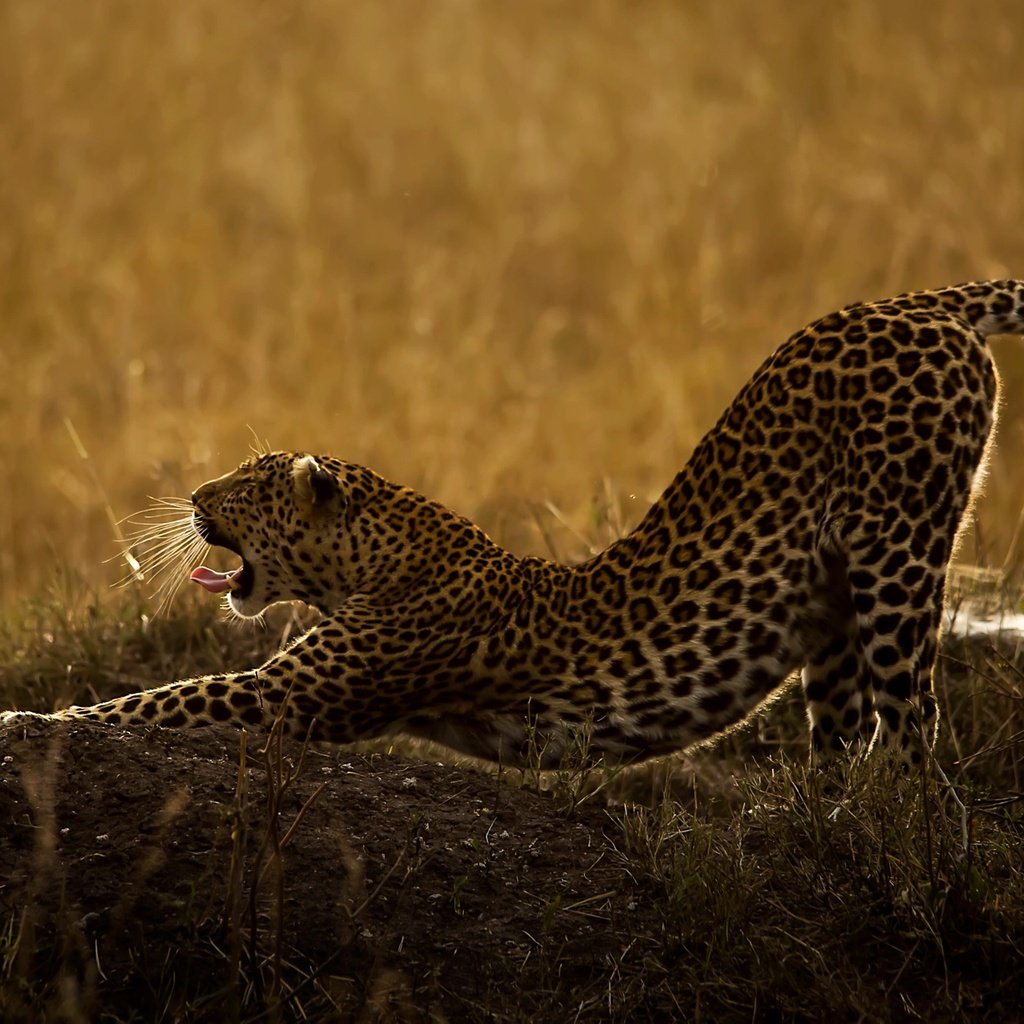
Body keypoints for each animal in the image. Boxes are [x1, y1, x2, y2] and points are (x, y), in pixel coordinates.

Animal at [4, 280, 1019, 770]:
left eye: (248, 489)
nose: (193, 499)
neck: (376, 556)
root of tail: (917, 302)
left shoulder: (289, 695)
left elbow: (151, 703)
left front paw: (28, 716)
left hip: (899, 548)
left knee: (916, 721)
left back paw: (890, 815)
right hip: (838, 598)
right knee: (846, 724)